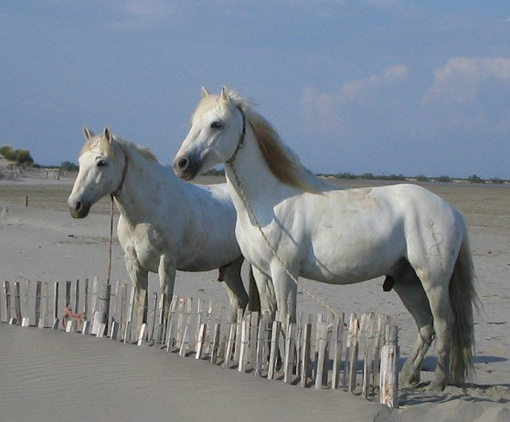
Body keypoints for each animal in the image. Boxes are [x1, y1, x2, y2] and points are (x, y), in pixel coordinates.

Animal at [67, 128, 262, 324]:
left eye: (101, 162)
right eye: (80, 162)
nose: (75, 206)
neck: (146, 213)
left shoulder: (166, 264)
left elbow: (165, 309)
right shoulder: (134, 265)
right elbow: (141, 307)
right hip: (231, 266)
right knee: (239, 299)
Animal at [173, 87, 480, 390]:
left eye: (216, 124)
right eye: (193, 123)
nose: (181, 164)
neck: (269, 200)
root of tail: (451, 211)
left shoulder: (284, 272)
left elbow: (287, 318)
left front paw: (290, 369)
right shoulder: (262, 272)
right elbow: (269, 316)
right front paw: (272, 364)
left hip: (433, 281)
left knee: (444, 323)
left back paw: (437, 383)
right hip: (407, 281)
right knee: (426, 326)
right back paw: (407, 377)